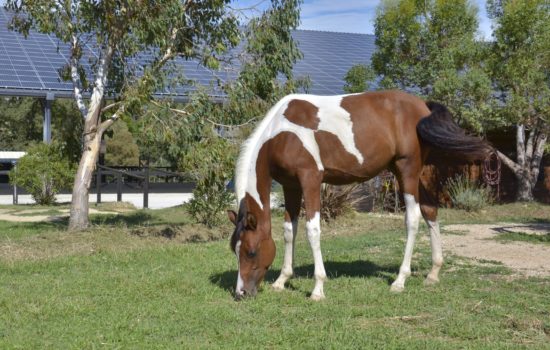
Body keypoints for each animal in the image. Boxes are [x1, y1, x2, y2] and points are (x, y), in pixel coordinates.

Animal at [227, 90, 492, 300]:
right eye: (234, 251)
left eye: (250, 252)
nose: (241, 293)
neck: (281, 134)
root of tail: (423, 106)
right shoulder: (290, 186)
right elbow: (289, 231)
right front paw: (282, 280)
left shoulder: (310, 180)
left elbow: (312, 230)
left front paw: (318, 289)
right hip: (412, 173)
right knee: (430, 210)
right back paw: (433, 273)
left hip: (407, 170)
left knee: (413, 219)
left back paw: (400, 280)